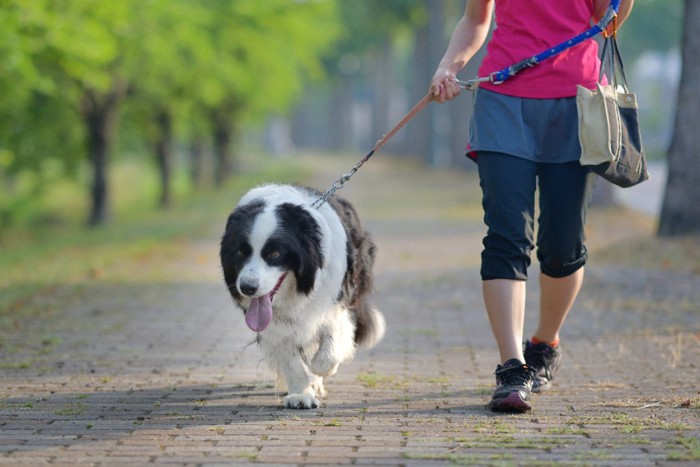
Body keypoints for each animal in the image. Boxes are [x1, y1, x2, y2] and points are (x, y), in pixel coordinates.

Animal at [219, 184, 386, 410]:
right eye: (240, 252)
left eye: (274, 253)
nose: (247, 287)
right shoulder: (274, 325)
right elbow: (290, 358)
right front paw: (300, 394)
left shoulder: (336, 300)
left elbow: (329, 347)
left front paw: (320, 372)